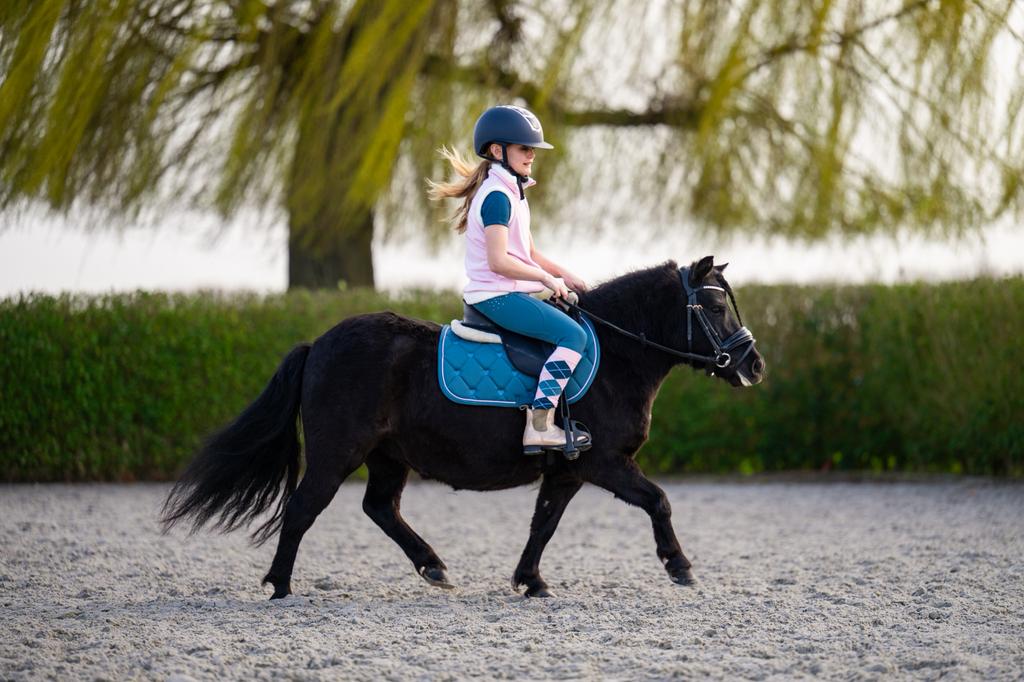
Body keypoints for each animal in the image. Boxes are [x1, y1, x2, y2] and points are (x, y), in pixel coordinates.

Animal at [161, 256, 765, 599]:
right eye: (714, 307)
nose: (753, 366)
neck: (616, 356)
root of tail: (320, 343)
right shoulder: (605, 463)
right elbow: (658, 500)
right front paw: (680, 566)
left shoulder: (567, 471)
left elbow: (543, 524)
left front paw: (530, 581)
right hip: (338, 454)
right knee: (304, 508)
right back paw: (281, 586)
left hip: (388, 456)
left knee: (380, 508)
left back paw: (433, 567)